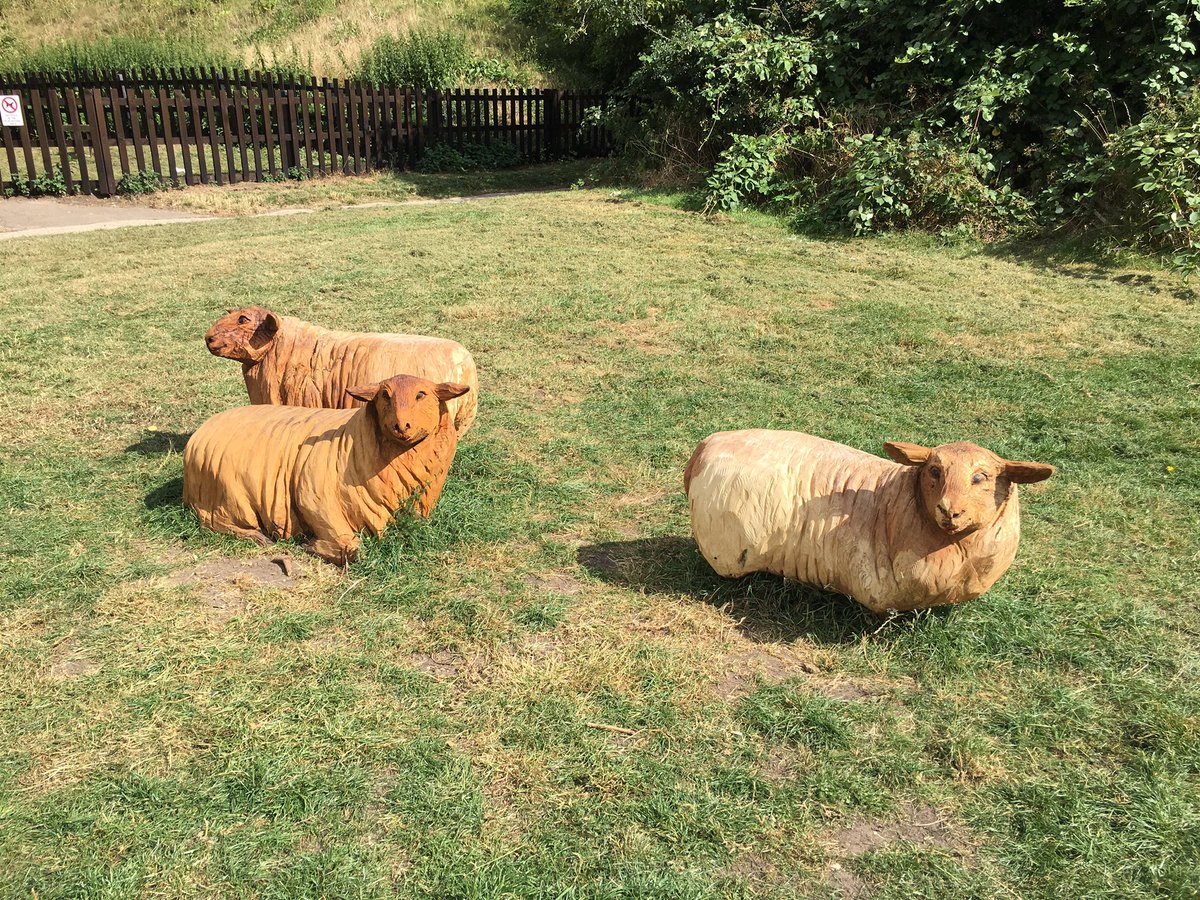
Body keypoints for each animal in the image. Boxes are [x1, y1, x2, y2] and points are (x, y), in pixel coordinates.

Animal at [183, 374, 470, 565]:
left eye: (422, 394)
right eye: (384, 395)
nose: (402, 426)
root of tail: (199, 434)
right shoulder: (314, 498)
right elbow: (351, 548)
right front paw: (310, 546)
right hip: (227, 496)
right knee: (213, 522)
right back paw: (256, 536)